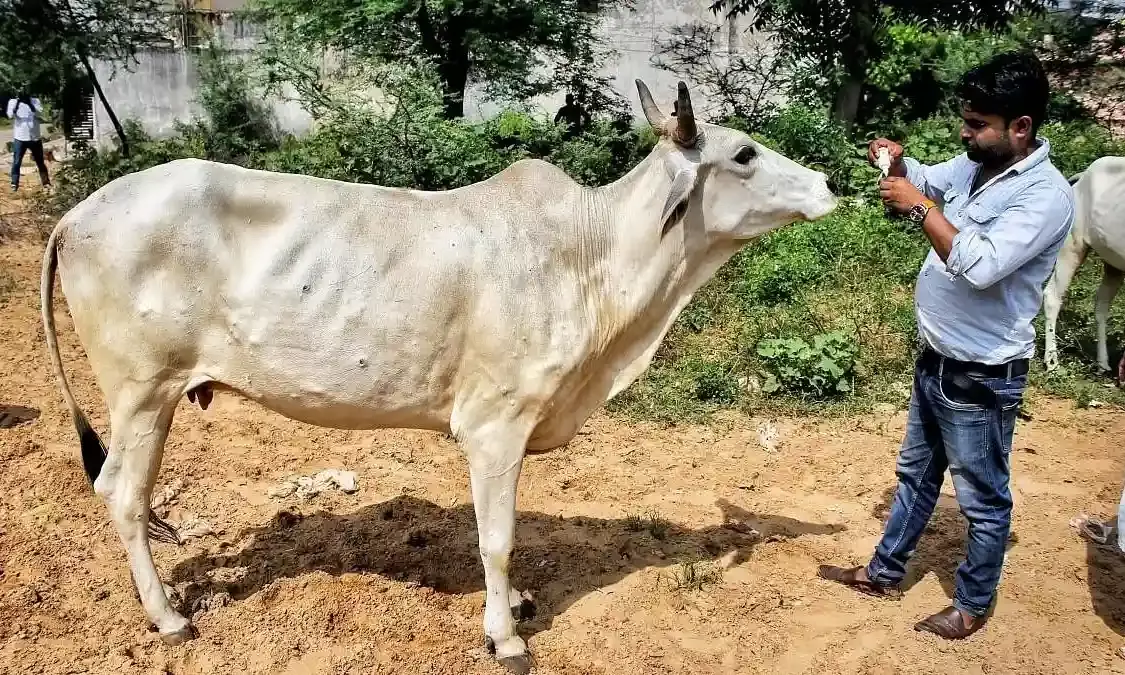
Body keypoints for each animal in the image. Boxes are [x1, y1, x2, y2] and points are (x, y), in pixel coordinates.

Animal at [40, 80, 836, 673]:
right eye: (743, 152)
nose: (829, 182)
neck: (592, 256)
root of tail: (78, 213)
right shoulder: (494, 424)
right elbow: (497, 537)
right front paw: (505, 635)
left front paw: (513, 607)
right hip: (142, 391)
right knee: (122, 494)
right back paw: (169, 617)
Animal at [1043, 156, 1125, 373]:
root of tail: (1082, 178)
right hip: (1072, 245)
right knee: (1052, 296)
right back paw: (1052, 362)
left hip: (1114, 264)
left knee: (1101, 305)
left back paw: (1103, 364)